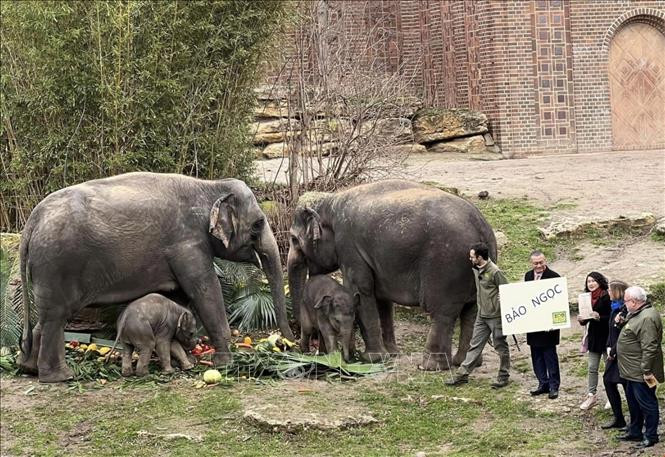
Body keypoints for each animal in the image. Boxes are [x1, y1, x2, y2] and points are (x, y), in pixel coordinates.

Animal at [18, 172, 294, 382]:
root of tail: (31, 221)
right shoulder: (187, 244)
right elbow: (205, 291)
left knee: (46, 319)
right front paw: (226, 363)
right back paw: (61, 377)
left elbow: (179, 298)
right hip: (56, 265)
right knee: (56, 317)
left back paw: (29, 370)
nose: (289, 343)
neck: (210, 185)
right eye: (258, 224)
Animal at [287, 180, 497, 370]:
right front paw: (391, 354)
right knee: (472, 311)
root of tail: (481, 227)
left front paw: (371, 359)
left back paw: (430, 367)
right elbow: (381, 298)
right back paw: (464, 363)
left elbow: (361, 290)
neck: (331, 201)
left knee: (442, 312)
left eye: (294, 239)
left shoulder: (349, 246)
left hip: (446, 266)